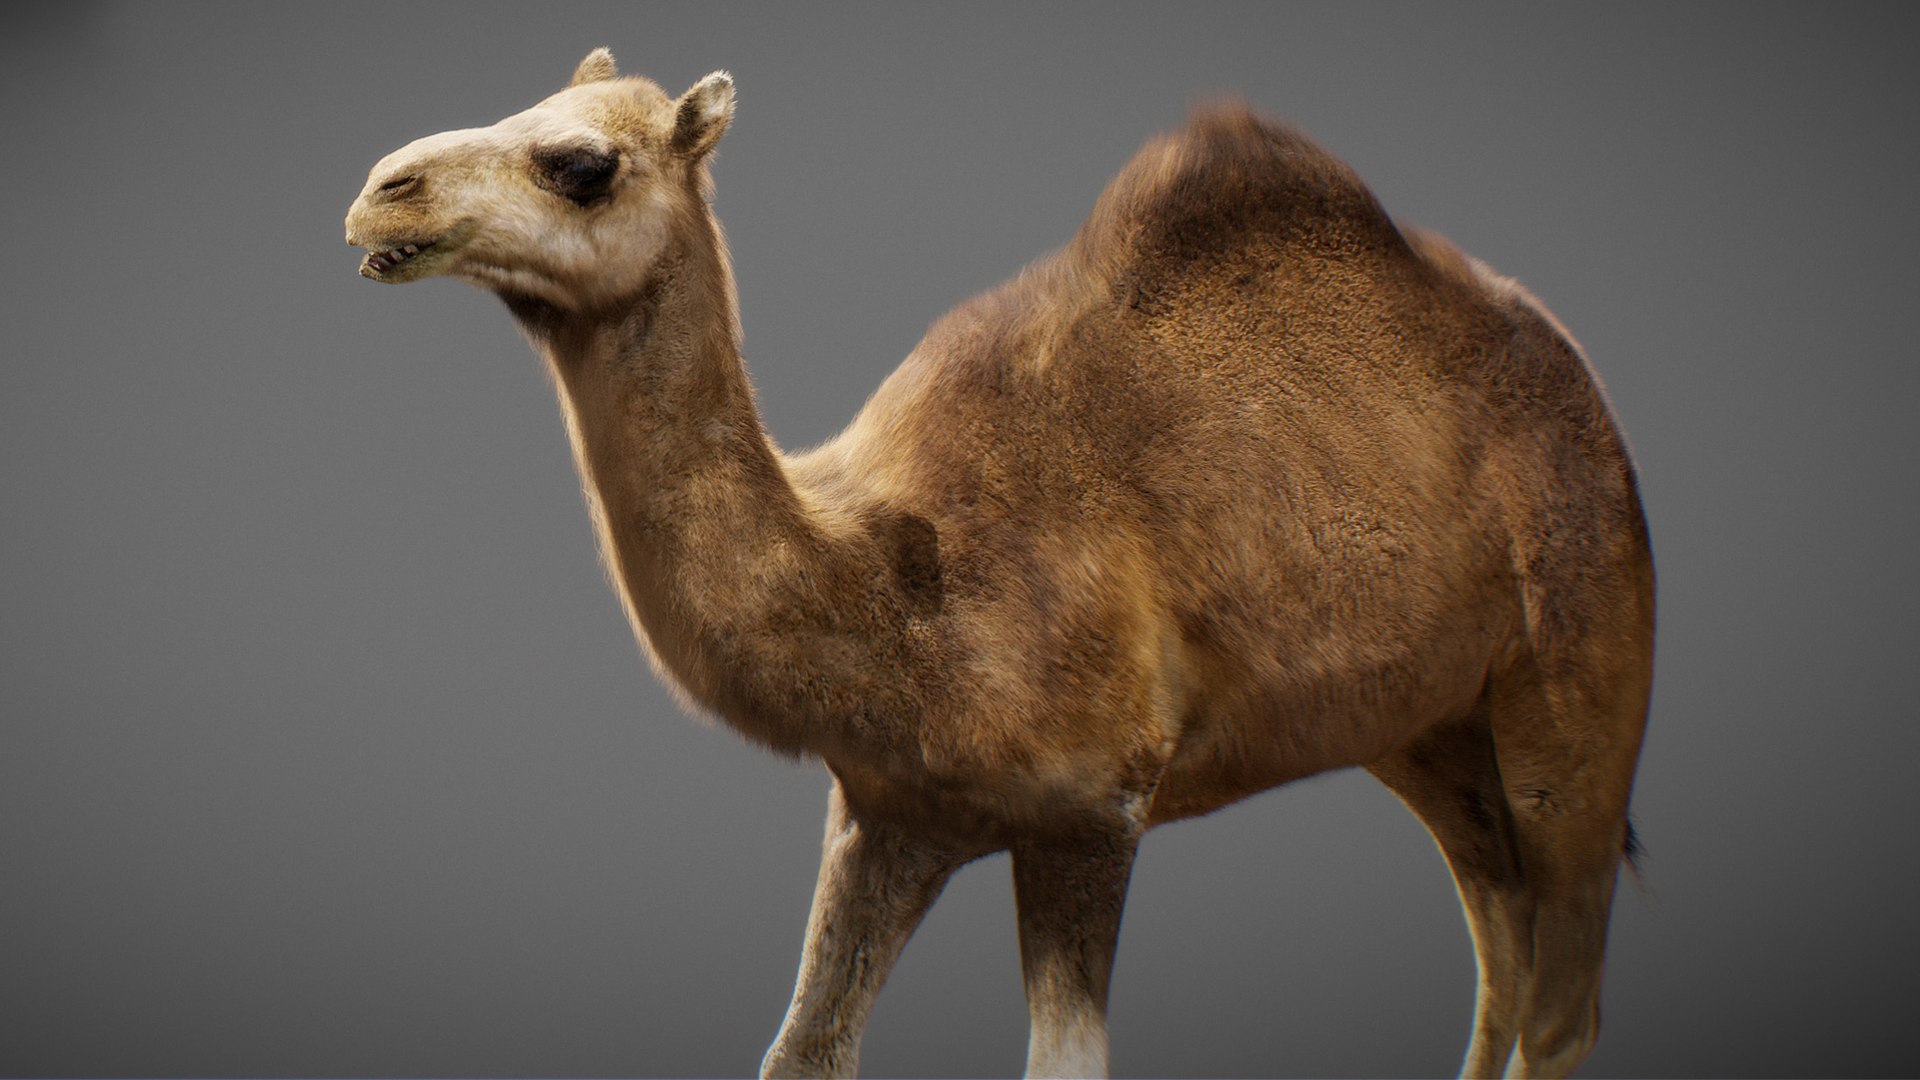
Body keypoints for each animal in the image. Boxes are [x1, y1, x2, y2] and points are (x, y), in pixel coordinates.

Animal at [344, 49, 1653, 1079]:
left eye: (581, 164)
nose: (377, 192)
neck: (892, 583)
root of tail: (1577, 375)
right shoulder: (891, 814)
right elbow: (803, 1052)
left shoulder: (1095, 810)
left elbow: (1064, 1061)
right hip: (1422, 726)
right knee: (1500, 934)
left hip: (1580, 654)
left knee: (1561, 984)